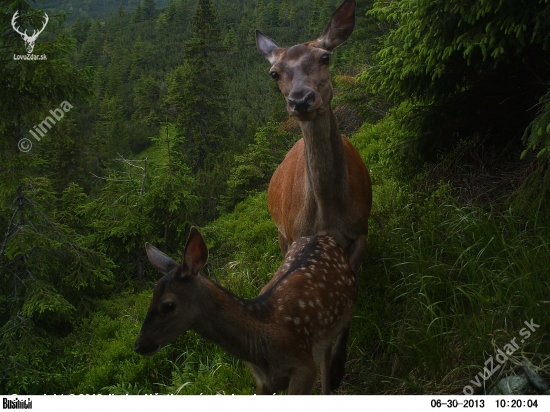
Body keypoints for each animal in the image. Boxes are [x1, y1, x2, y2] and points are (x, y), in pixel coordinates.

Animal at [134, 227, 358, 394]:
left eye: (168, 305)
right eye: (151, 297)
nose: (139, 345)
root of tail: (322, 236)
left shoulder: (303, 366)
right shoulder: (263, 381)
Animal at [258, 0, 370, 390]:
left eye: (325, 57)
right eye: (274, 73)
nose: (301, 99)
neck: (328, 215)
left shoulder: (360, 231)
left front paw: (336, 370)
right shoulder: (299, 243)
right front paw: (330, 372)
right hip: (280, 234)